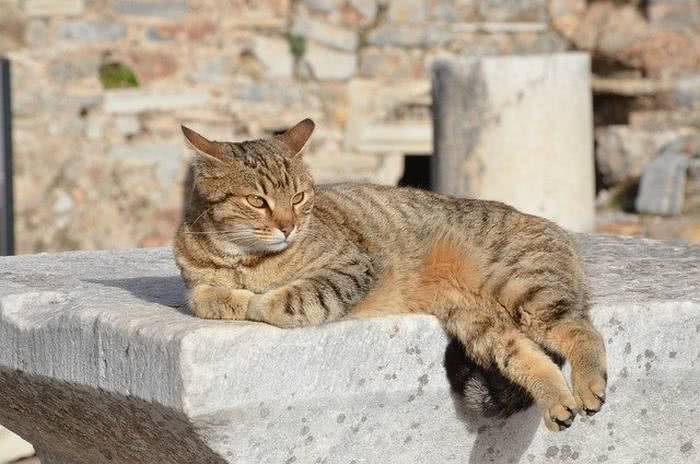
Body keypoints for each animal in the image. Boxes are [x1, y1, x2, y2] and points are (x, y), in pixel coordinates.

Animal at [174, 119, 608, 432]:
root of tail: (565, 237)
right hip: (480, 325)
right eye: (257, 201)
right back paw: (558, 404)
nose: (288, 226)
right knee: (530, 356)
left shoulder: (351, 268)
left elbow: (281, 302)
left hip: (523, 286)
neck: (243, 259)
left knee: (583, 331)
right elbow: (205, 296)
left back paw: (589, 386)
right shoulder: (194, 285)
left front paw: (256, 299)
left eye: (298, 197)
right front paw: (230, 296)